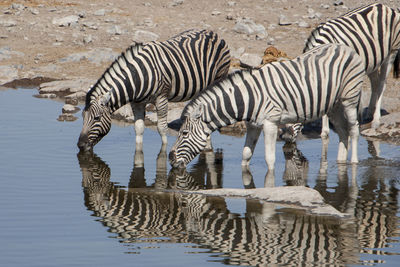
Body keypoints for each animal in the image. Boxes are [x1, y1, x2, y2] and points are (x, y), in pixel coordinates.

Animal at [76, 28, 230, 153]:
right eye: (82, 116)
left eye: (96, 118)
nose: (80, 146)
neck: (139, 76)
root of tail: (212, 32)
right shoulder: (136, 103)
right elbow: (138, 128)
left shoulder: (161, 98)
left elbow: (162, 128)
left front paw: (164, 151)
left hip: (218, 77)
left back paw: (208, 147)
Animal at [169, 43, 366, 171]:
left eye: (184, 133)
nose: (170, 159)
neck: (249, 98)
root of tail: (346, 48)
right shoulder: (253, 125)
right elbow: (246, 155)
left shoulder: (270, 124)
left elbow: (269, 159)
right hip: (333, 105)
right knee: (342, 132)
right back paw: (341, 162)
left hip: (349, 98)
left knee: (354, 129)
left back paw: (354, 163)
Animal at [284, 3, 400, 141]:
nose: (285, 138)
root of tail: (383, 5)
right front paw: (325, 130)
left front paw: (326, 131)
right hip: (373, 59)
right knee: (375, 82)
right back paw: (369, 113)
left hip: (391, 52)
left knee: (382, 83)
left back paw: (376, 120)